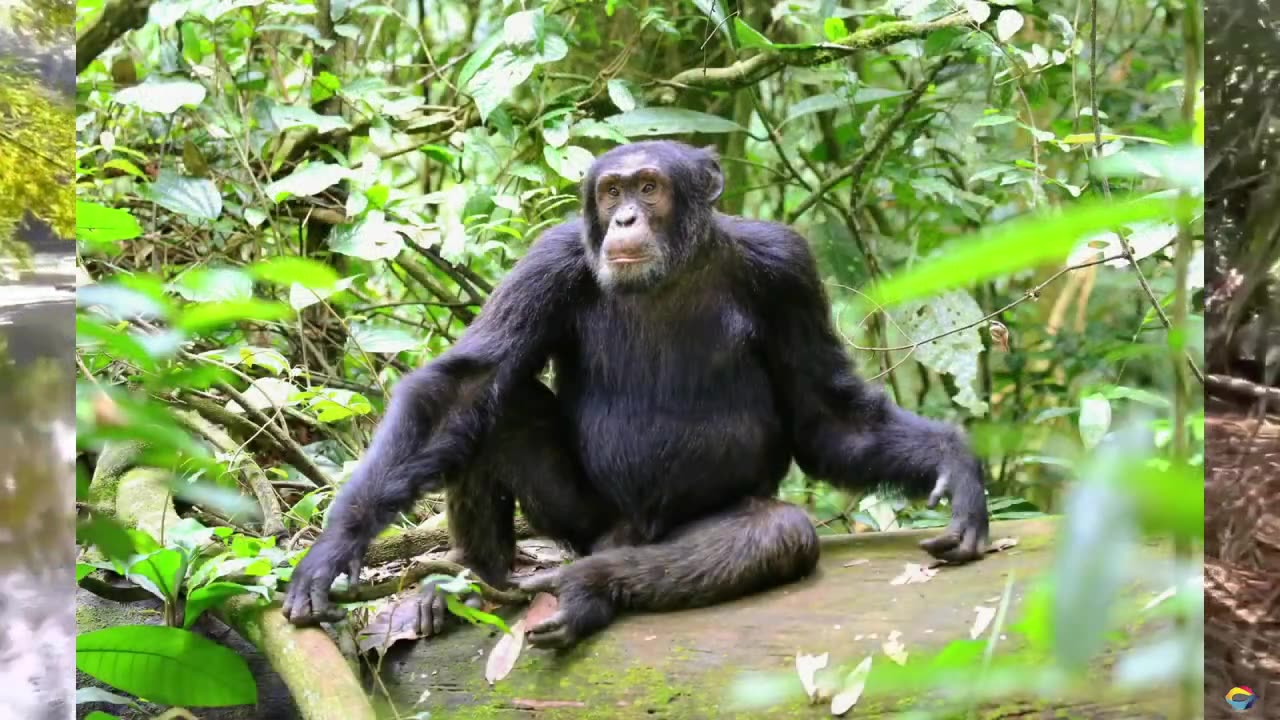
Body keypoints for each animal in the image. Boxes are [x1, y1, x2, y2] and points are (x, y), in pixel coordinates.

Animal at [285, 139, 988, 645]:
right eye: (611, 191)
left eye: (649, 188)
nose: (623, 216)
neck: (675, 270)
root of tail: (621, 538)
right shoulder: (549, 260)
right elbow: (465, 388)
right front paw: (333, 550)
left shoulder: (786, 266)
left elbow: (825, 416)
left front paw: (956, 465)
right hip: (583, 518)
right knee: (499, 405)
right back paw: (482, 587)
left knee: (775, 533)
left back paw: (589, 590)